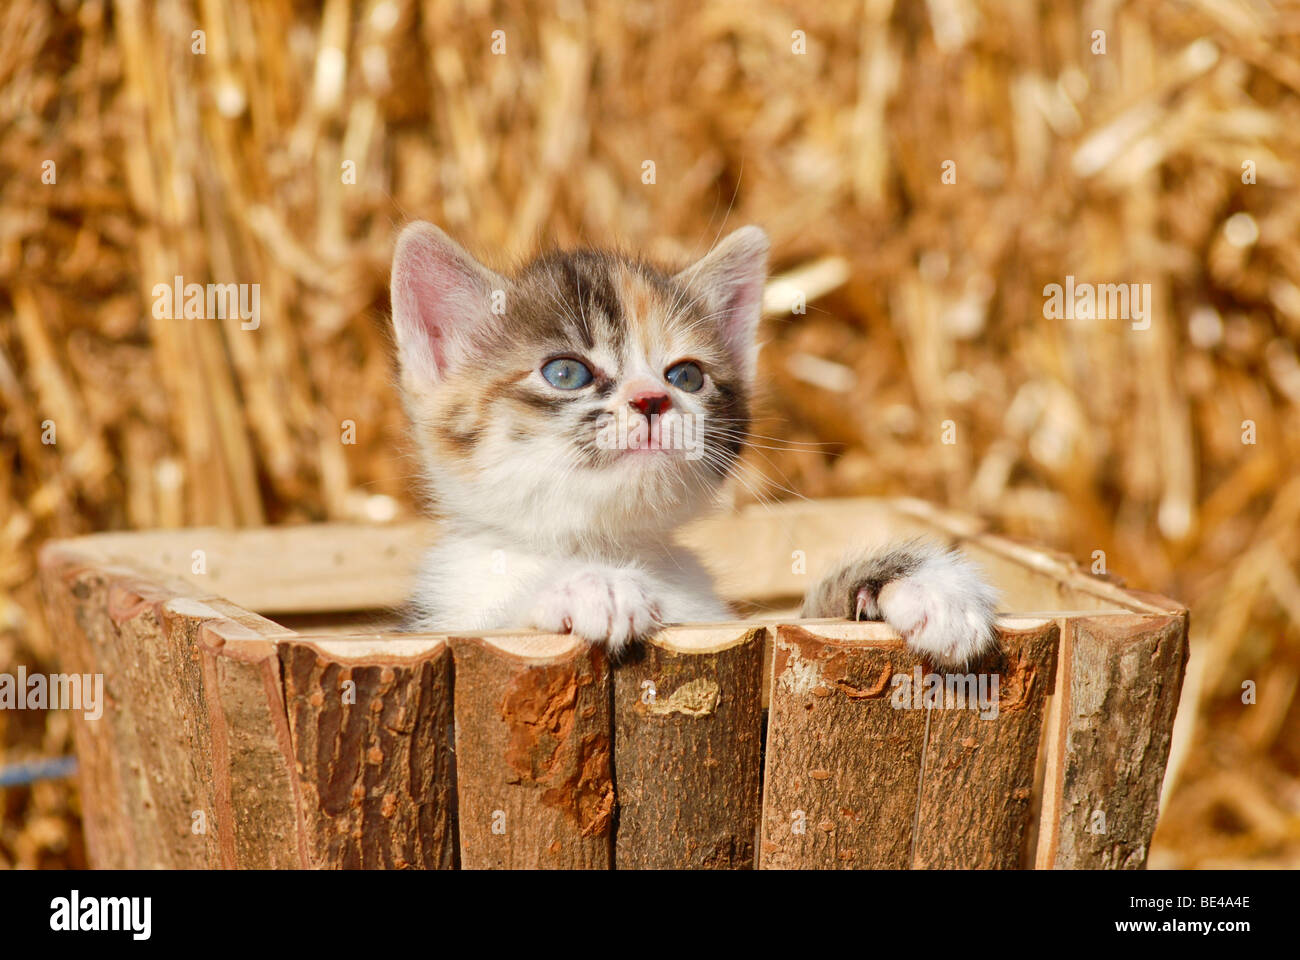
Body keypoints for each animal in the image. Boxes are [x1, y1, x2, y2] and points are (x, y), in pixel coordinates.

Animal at [384, 221, 993, 660]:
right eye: (565, 373)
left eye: (686, 376)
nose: (653, 399)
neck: (610, 542)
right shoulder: (446, 615)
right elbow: (492, 629)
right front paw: (588, 586)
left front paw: (926, 583)